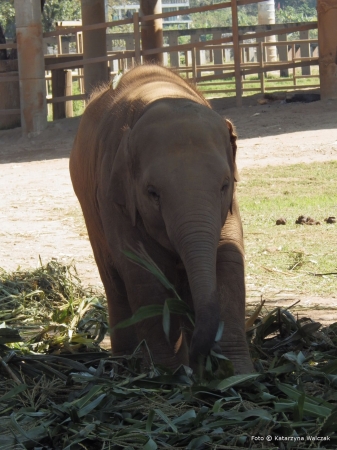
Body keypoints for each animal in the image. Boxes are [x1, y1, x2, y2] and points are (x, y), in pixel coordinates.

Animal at [69, 63, 252, 372]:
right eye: (153, 193)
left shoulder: (229, 206)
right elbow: (143, 270)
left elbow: (228, 257)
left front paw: (238, 373)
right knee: (114, 281)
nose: (201, 356)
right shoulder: (113, 196)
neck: (162, 94)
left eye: (225, 185)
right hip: (89, 209)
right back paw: (126, 361)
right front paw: (171, 373)